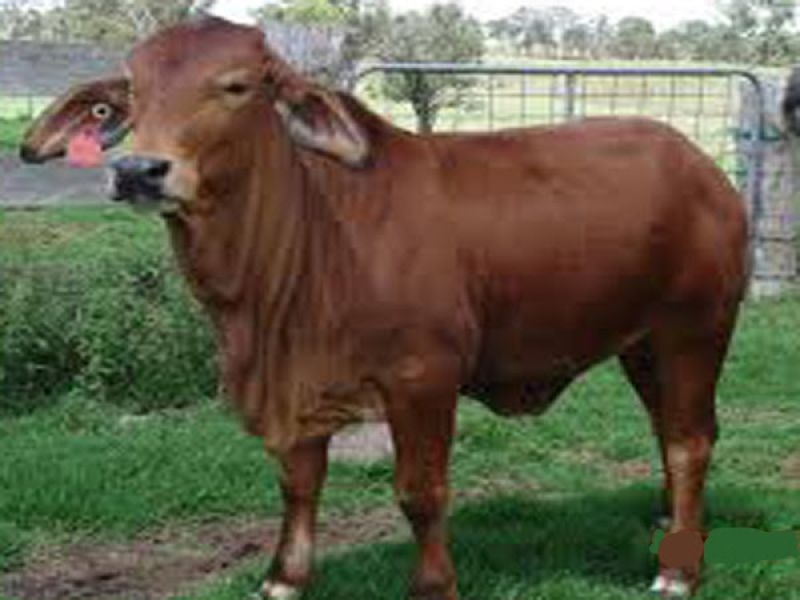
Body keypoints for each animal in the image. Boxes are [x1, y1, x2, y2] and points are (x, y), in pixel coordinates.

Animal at [20, 16, 749, 600]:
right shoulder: (299, 388)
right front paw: (283, 579)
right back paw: (672, 523)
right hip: (642, 345)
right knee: (668, 431)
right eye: (130, 93)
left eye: (236, 86)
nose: (138, 170)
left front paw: (434, 586)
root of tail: (699, 163)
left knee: (689, 441)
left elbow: (419, 493)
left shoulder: (422, 380)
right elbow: (298, 483)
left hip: (695, 330)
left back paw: (676, 570)